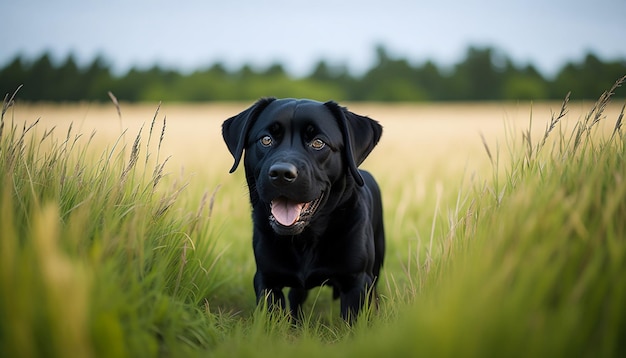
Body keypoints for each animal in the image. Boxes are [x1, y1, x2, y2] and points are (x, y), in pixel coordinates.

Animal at [222, 98, 382, 322]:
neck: (305, 240)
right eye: (266, 139)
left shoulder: (357, 281)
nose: (281, 173)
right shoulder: (267, 280)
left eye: (318, 143)